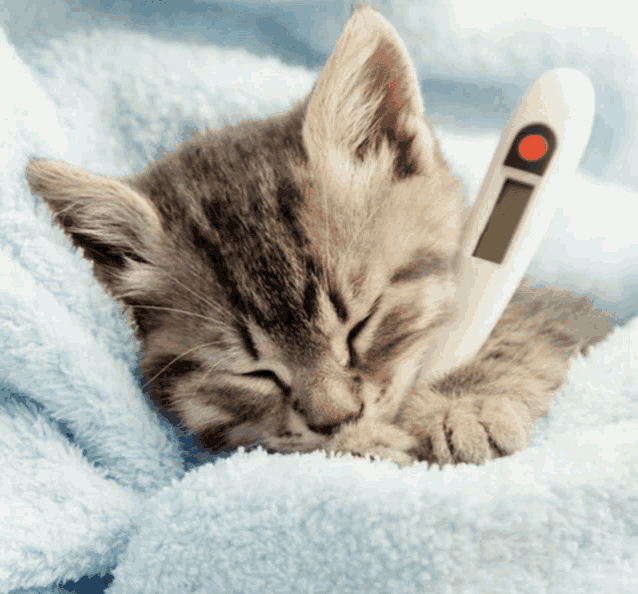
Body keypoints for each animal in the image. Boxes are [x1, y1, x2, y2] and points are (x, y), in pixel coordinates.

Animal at [26, 5, 616, 468]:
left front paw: (462, 402)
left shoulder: (567, 310)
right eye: (252, 371)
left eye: (362, 324)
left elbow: (525, 325)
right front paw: (363, 442)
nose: (336, 420)